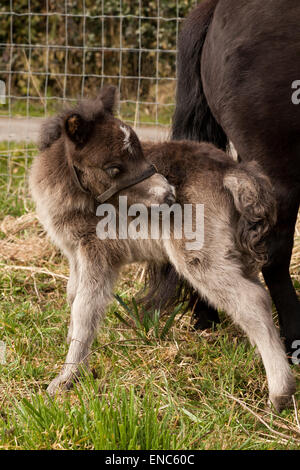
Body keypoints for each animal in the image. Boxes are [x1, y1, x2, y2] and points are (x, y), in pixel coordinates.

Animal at [29, 87, 296, 412]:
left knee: (252, 299)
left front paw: (67, 378)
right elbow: (72, 296)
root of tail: (232, 171)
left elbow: (85, 309)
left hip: (198, 254)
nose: (169, 194)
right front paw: (72, 355)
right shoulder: (74, 253)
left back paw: (280, 393)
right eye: (113, 168)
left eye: (141, 153)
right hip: (231, 251)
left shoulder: (97, 252)